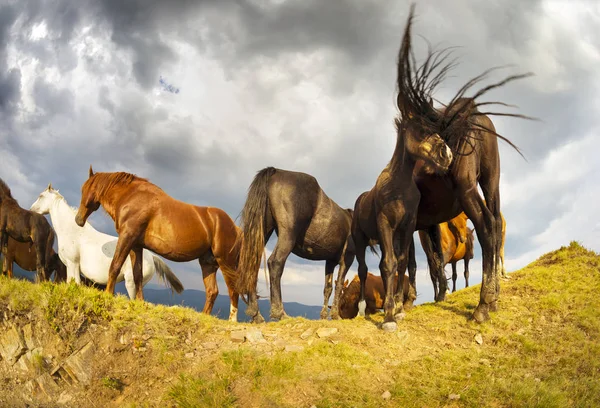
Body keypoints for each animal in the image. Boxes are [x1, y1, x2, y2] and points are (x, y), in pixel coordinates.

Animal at [29, 185, 183, 300]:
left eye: (41, 196)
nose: (31, 210)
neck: (72, 231)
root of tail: (152, 257)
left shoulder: (73, 264)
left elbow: (76, 284)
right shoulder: (69, 266)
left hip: (131, 284)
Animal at [74, 167, 241, 320]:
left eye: (84, 189)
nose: (79, 219)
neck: (131, 196)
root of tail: (235, 227)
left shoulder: (126, 237)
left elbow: (115, 265)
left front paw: (108, 295)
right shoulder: (136, 245)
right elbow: (138, 275)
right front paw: (140, 303)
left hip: (225, 262)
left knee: (233, 290)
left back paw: (232, 320)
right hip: (208, 263)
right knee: (212, 291)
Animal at [236, 167, 356, 324]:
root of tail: (276, 171)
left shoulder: (330, 261)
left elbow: (328, 287)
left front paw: (324, 315)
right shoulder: (347, 259)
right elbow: (339, 284)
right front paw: (336, 315)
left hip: (263, 231)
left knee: (253, 264)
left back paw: (256, 314)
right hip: (288, 235)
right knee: (275, 262)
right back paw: (280, 312)